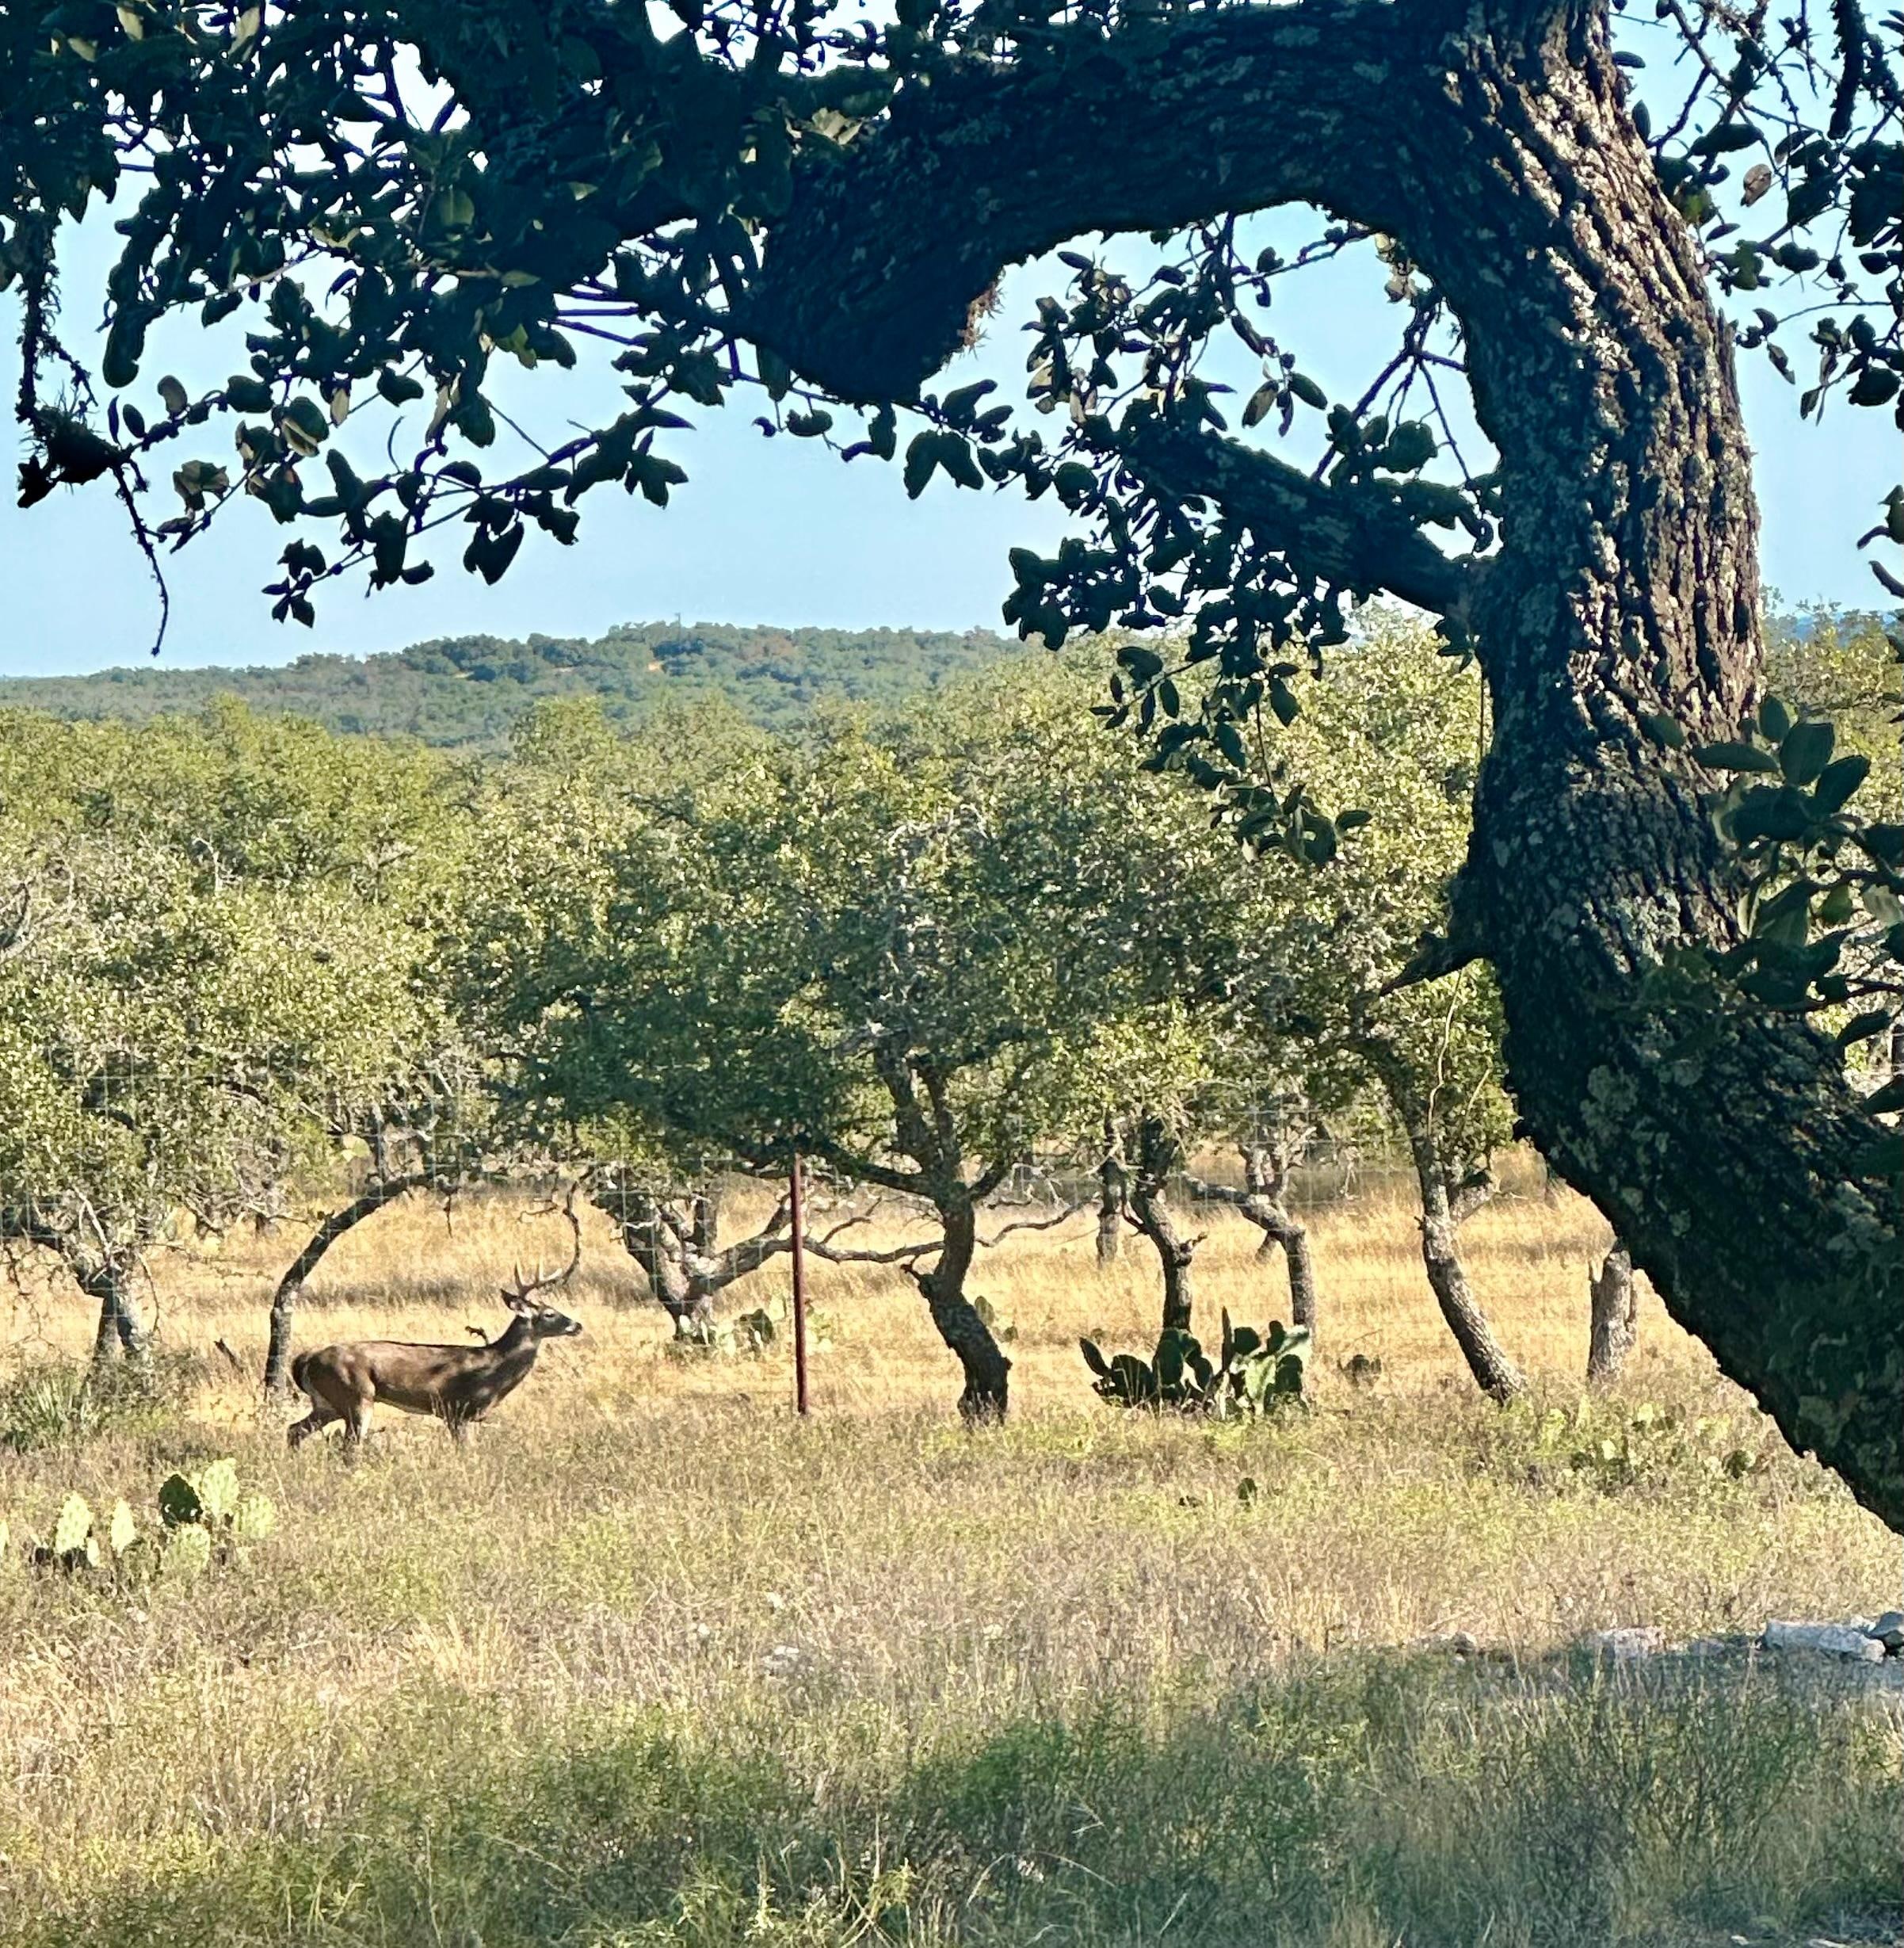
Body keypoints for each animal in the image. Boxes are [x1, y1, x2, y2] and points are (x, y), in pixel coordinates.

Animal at [288, 1217, 584, 1448]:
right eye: (549, 1313)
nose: (577, 1325)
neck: (493, 1368)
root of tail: (305, 1359)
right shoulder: (458, 1410)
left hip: (327, 1403)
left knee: (294, 1430)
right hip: (356, 1395)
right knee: (349, 1446)